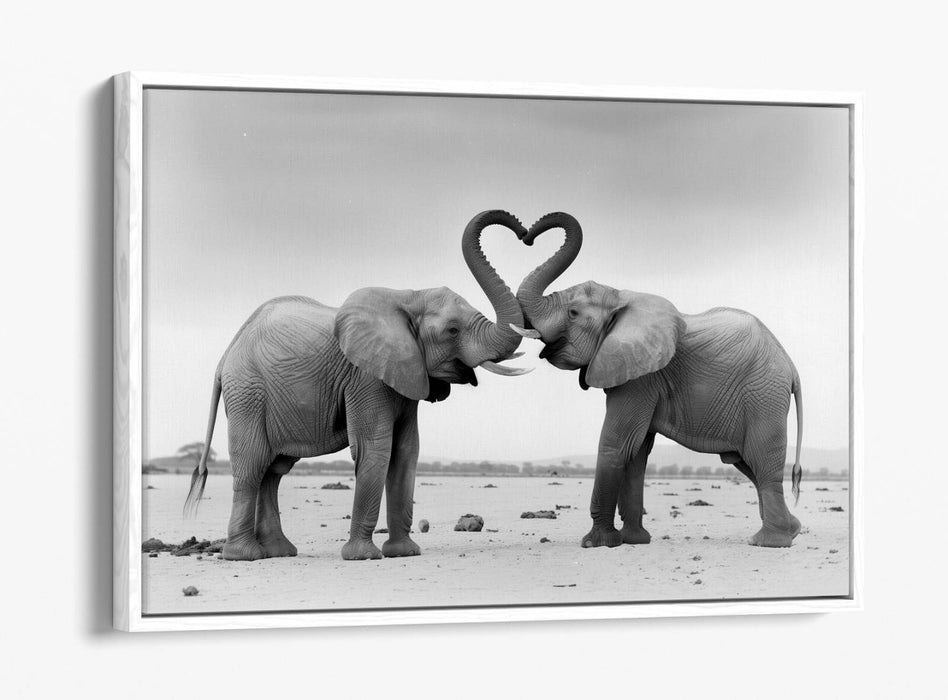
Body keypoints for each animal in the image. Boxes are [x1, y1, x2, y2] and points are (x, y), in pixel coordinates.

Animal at [184, 210, 531, 561]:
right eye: (452, 330)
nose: (523, 232)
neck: (408, 295)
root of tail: (227, 354)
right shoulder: (366, 377)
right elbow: (375, 447)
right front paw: (364, 556)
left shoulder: (406, 373)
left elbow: (406, 451)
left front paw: (404, 553)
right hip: (248, 391)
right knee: (252, 465)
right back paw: (244, 556)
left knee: (274, 470)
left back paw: (279, 552)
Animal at [508, 212, 804, 548]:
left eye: (572, 313)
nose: (527, 234)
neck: (621, 297)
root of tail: (791, 366)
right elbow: (636, 452)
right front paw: (634, 541)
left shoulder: (641, 378)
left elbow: (616, 444)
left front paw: (598, 543)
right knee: (746, 463)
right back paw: (791, 530)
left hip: (763, 394)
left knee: (761, 461)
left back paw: (768, 542)